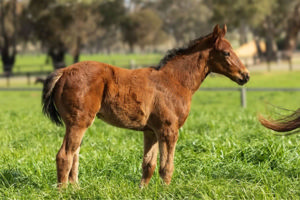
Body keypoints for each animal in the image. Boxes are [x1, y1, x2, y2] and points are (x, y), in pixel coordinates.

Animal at [41, 24, 250, 188]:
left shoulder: (151, 131)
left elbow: (148, 165)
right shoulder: (169, 130)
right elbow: (166, 167)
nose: (245, 76)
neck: (174, 81)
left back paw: (76, 189)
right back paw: (63, 191)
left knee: (74, 155)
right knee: (64, 155)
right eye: (226, 52)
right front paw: (166, 192)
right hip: (78, 123)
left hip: (78, 124)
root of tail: (63, 71)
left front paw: (144, 190)